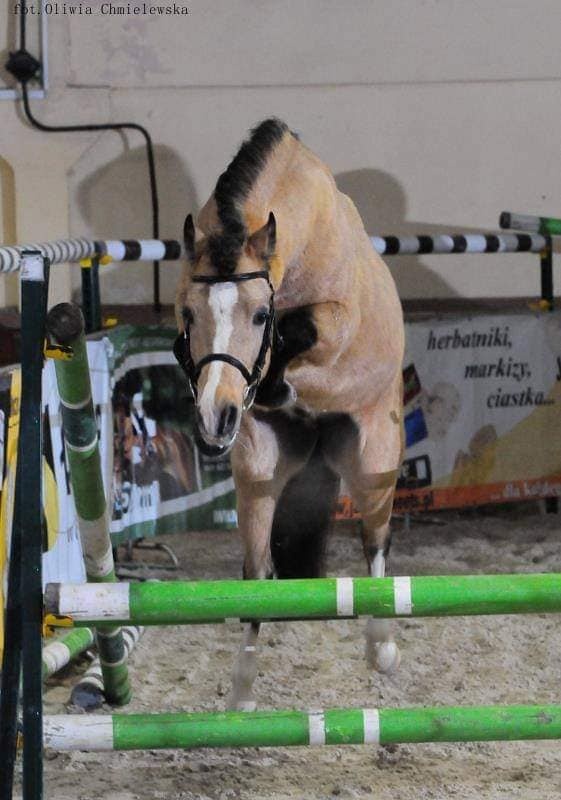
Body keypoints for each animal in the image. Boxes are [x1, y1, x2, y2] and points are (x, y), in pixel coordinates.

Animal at [174, 119, 404, 711]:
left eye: (259, 314)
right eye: (189, 313)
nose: (216, 419)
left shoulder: (337, 321)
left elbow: (301, 327)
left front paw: (277, 372)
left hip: (375, 458)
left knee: (375, 542)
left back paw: (382, 647)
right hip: (258, 472)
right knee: (257, 571)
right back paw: (242, 692)